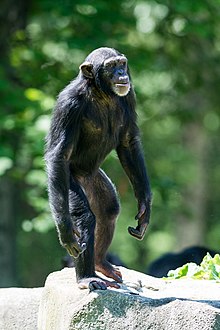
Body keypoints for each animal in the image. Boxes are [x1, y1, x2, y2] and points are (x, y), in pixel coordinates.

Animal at [44, 46, 151, 288]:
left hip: (95, 180)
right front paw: (66, 232)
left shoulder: (129, 95)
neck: (101, 94)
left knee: (109, 209)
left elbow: (128, 142)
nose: (122, 73)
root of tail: (83, 177)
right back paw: (87, 277)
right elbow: (58, 155)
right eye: (111, 66)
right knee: (85, 217)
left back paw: (102, 264)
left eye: (122, 63)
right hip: (68, 181)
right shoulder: (68, 105)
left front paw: (145, 206)